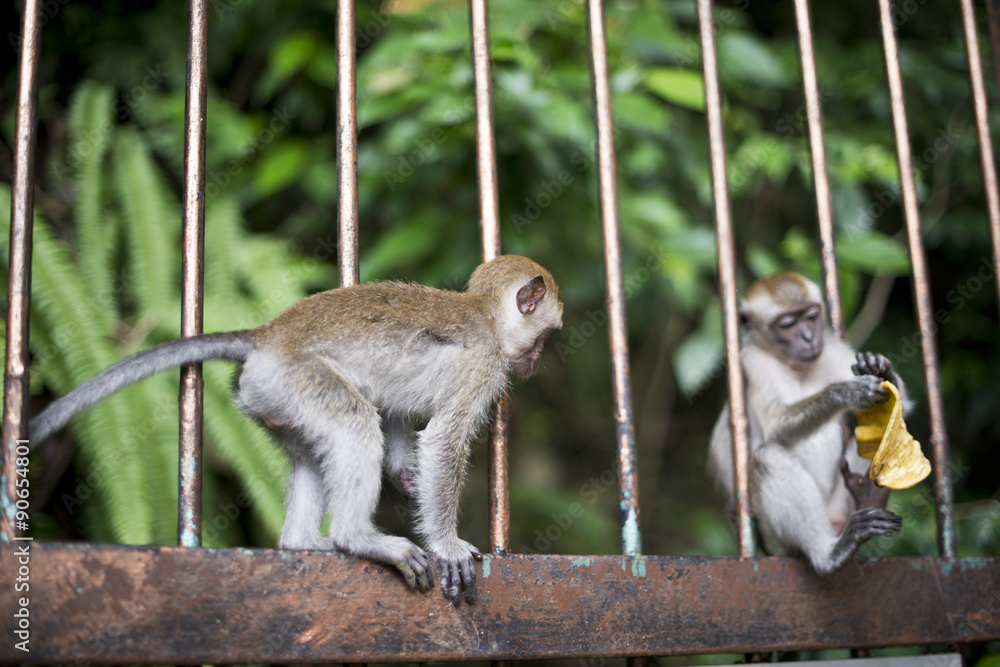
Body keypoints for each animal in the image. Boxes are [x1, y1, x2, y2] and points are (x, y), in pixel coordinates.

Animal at [30, 254, 563, 604]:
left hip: (277, 398)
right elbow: (443, 438)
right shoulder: (483, 366)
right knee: (354, 425)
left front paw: (408, 480)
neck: (486, 316)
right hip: (296, 378)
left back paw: (302, 541)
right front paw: (448, 544)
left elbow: (393, 411)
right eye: (549, 334)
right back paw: (355, 537)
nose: (539, 360)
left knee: (316, 448)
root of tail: (267, 336)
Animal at [708, 272, 907, 574]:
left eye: (811, 316)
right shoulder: (754, 360)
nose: (809, 337)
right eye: (788, 324)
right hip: (776, 541)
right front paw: (845, 393)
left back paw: (867, 496)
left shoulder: (834, 350)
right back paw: (830, 552)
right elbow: (776, 425)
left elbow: (901, 405)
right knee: (769, 457)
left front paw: (881, 370)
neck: (798, 366)